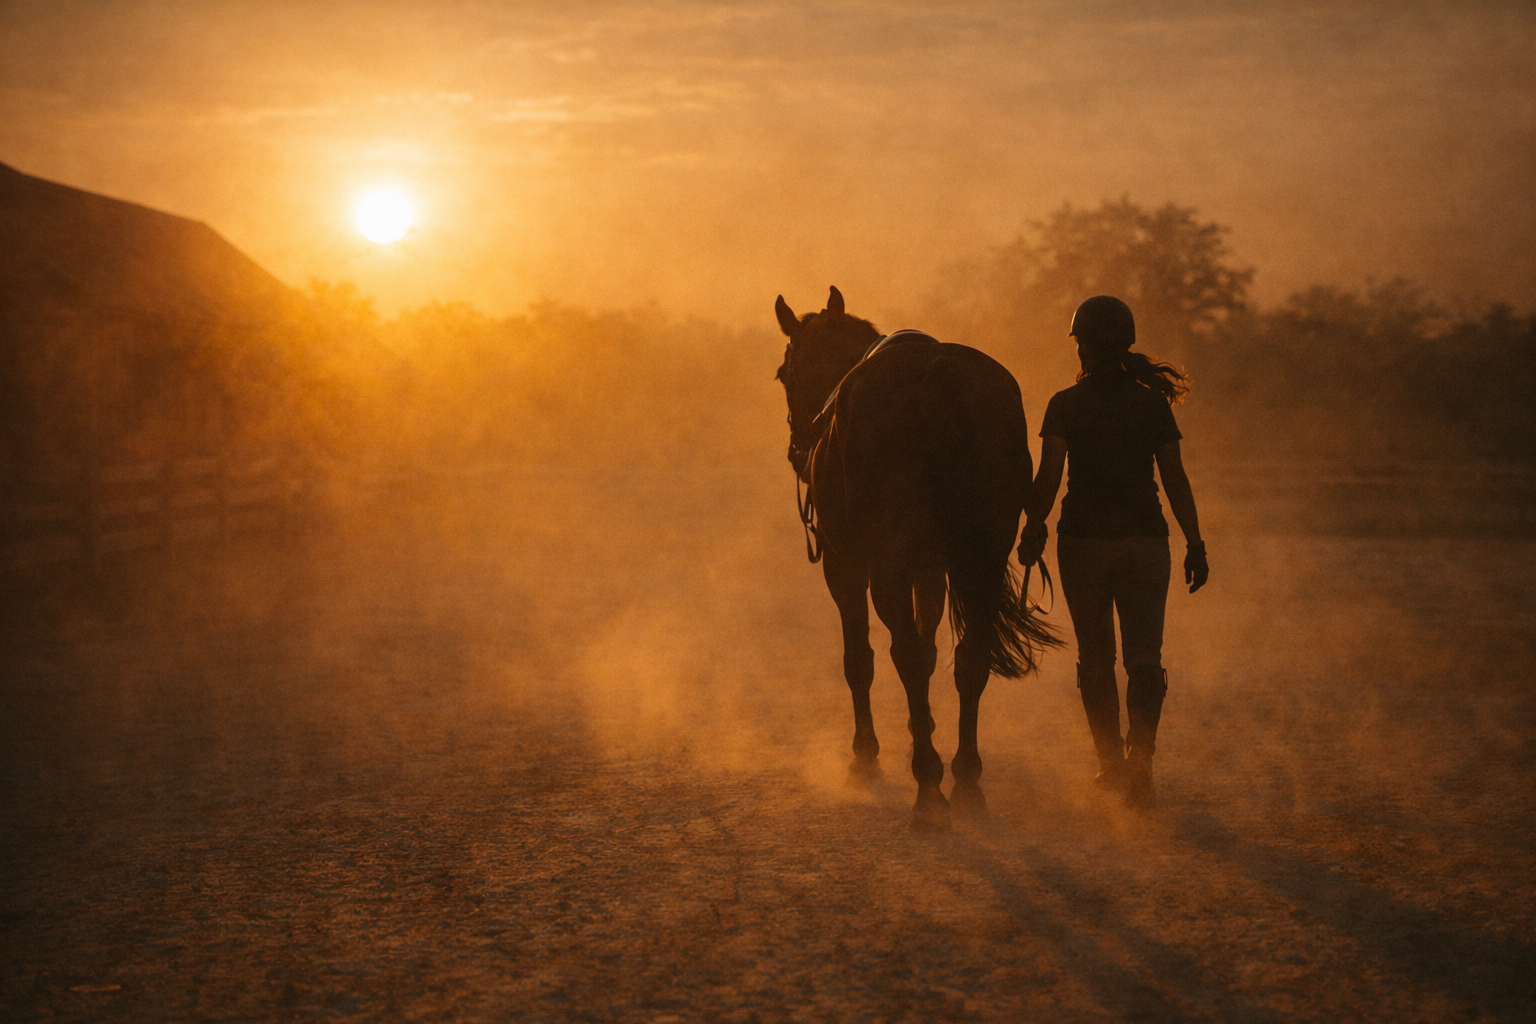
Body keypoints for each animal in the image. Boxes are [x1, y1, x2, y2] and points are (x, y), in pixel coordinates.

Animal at [775, 286, 1061, 832]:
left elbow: (862, 660)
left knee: (902, 655)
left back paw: (928, 787)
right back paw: (965, 779)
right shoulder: (932, 569)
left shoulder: (846, 567)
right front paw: (920, 726)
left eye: (784, 373)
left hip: (887, 570)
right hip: (981, 562)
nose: (798, 450)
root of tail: (940, 378)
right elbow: (931, 655)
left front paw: (866, 756)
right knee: (969, 661)